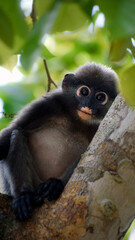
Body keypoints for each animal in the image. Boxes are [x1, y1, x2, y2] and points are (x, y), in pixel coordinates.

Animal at [0, 62, 118, 219]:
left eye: (100, 97)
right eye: (84, 92)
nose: (88, 105)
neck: (74, 118)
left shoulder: (98, 127)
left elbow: (87, 160)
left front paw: (56, 185)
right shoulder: (48, 103)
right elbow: (12, 131)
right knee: (17, 134)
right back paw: (23, 197)